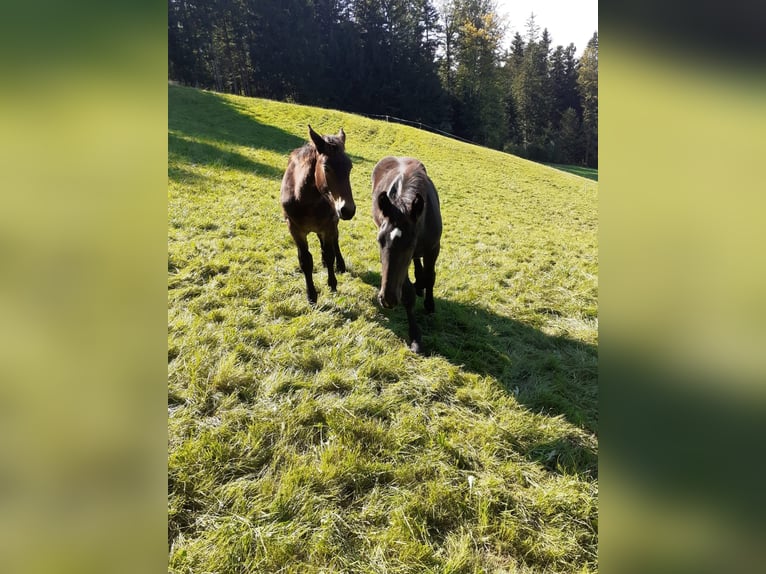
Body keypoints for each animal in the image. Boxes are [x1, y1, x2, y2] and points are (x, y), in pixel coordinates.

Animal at [280, 126, 356, 306]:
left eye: (349, 167)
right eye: (326, 167)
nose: (347, 210)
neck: (305, 199)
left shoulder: (328, 225)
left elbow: (329, 255)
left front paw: (332, 284)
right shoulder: (295, 229)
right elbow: (305, 260)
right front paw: (311, 296)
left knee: (334, 241)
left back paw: (340, 265)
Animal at [374, 158, 444, 356]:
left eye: (410, 244)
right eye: (379, 240)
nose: (387, 299)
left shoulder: (433, 248)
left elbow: (430, 277)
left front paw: (429, 304)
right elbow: (408, 293)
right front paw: (415, 338)